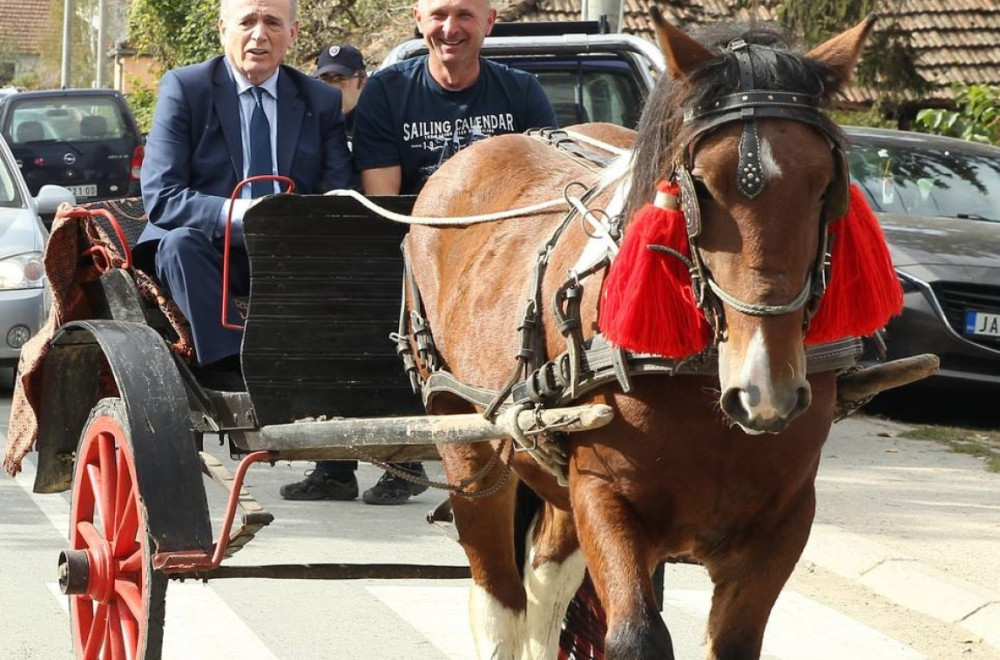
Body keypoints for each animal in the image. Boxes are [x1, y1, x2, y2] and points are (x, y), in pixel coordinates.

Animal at [404, 11, 876, 660]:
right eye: (699, 183)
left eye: (826, 183)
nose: (764, 387)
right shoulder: (606, 498)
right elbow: (635, 635)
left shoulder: (781, 525)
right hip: (465, 441)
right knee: (498, 597)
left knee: (545, 585)